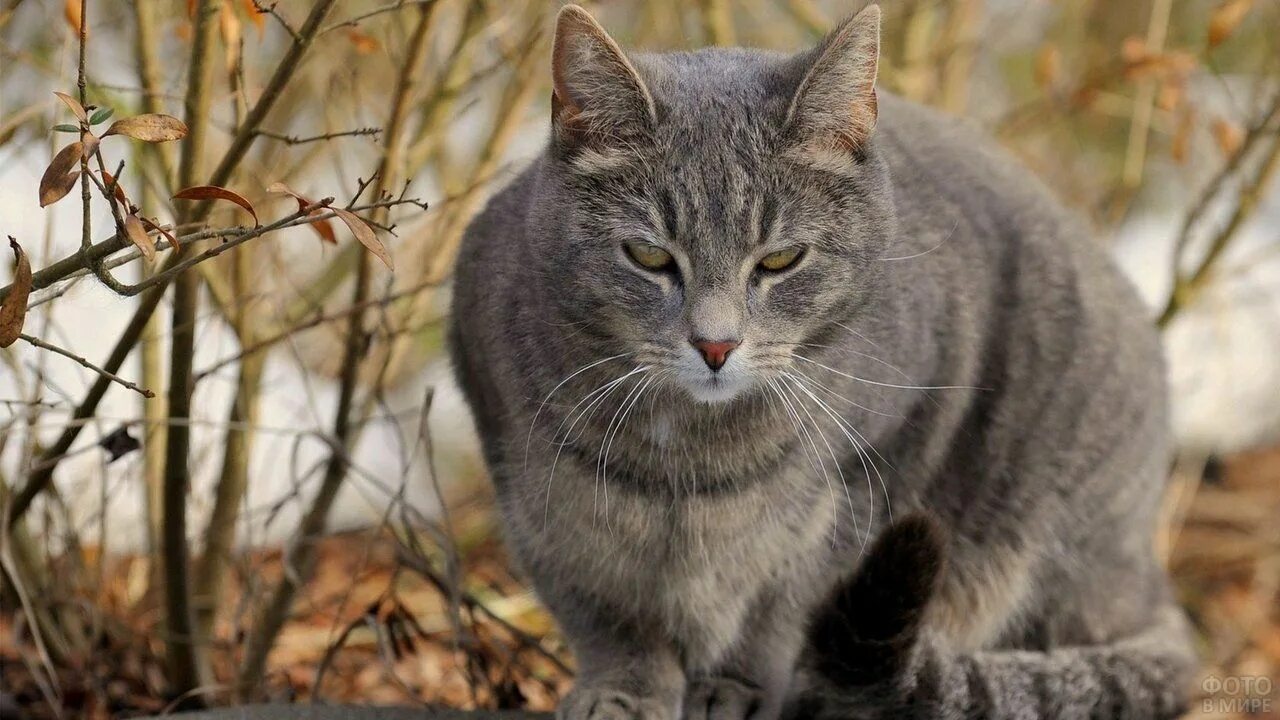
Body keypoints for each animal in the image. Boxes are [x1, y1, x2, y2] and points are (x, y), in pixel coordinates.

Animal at [448, 2, 1187, 712]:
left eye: (780, 260)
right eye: (649, 256)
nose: (715, 344)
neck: (688, 464)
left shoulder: (876, 472)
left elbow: (782, 611)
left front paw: (739, 688)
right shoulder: (533, 495)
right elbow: (602, 613)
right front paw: (624, 689)